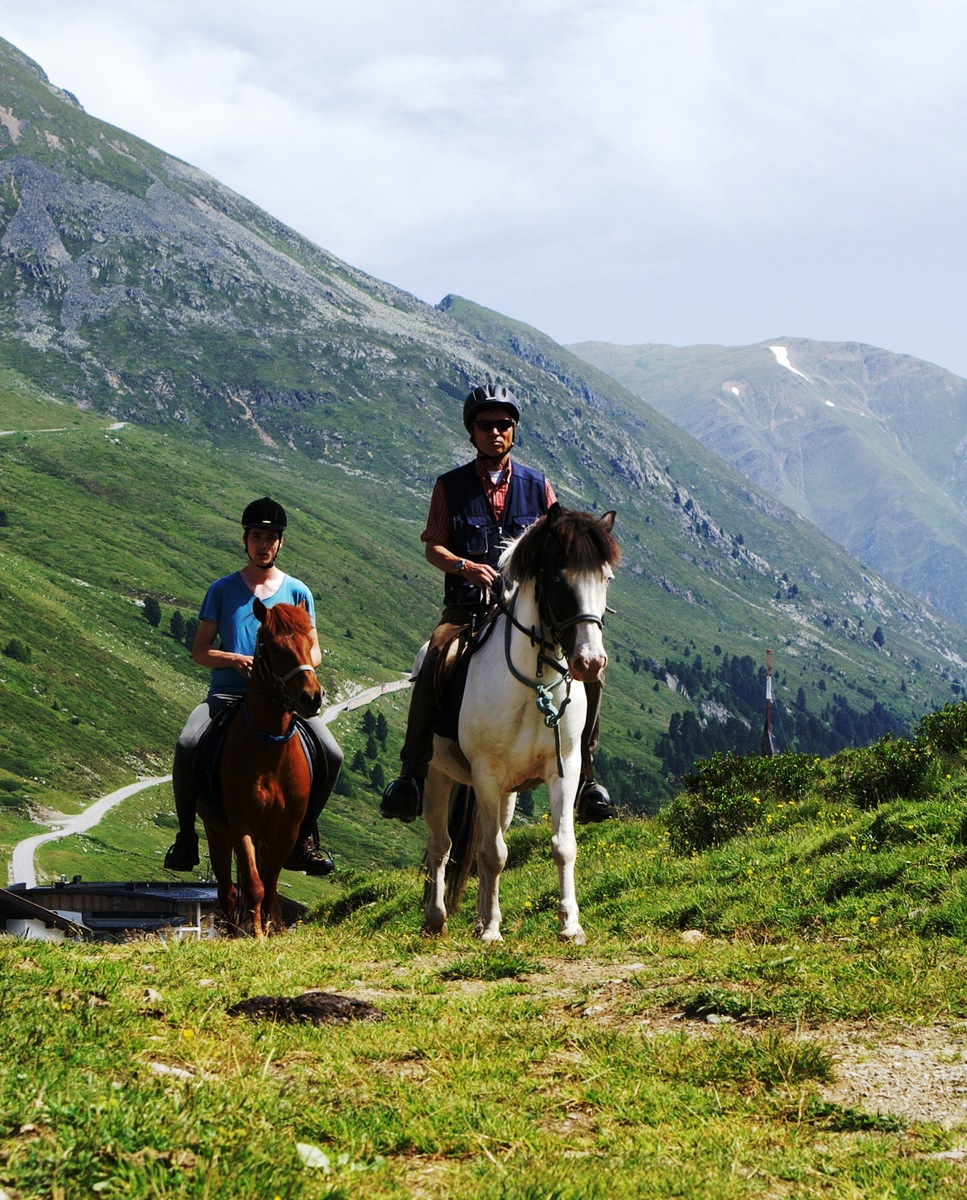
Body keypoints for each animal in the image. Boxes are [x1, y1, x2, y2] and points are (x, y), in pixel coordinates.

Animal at [199, 600, 323, 936]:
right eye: (273, 647)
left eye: (309, 642)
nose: (312, 697)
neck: (270, 749)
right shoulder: (242, 825)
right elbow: (254, 885)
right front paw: (254, 933)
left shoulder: (288, 831)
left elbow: (269, 885)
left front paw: (268, 928)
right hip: (217, 830)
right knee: (227, 890)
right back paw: (233, 930)